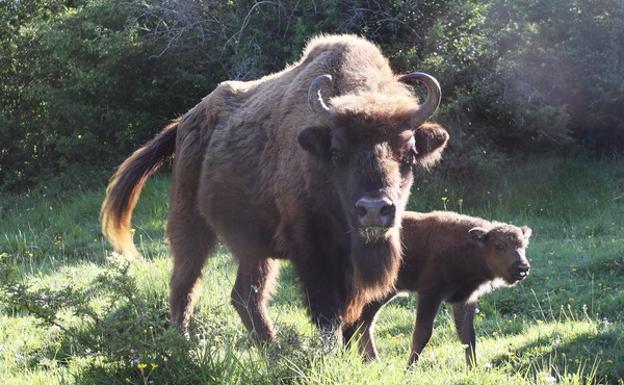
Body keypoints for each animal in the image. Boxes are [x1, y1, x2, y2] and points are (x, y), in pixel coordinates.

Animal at [101, 33, 448, 342]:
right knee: (185, 284)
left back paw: (270, 349)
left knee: (244, 296)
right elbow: (327, 312)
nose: (374, 210)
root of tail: (186, 121)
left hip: (252, 246)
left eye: (409, 153)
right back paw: (187, 343)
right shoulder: (312, 251)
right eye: (337, 152)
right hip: (190, 224)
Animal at [346, 210, 532, 366]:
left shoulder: (464, 299)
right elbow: (422, 334)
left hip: (384, 293)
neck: (472, 247)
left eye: (523, 245)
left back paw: (370, 360)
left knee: (364, 321)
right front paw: (409, 369)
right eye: (499, 245)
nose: (522, 268)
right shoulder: (430, 294)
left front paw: (473, 369)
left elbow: (468, 337)